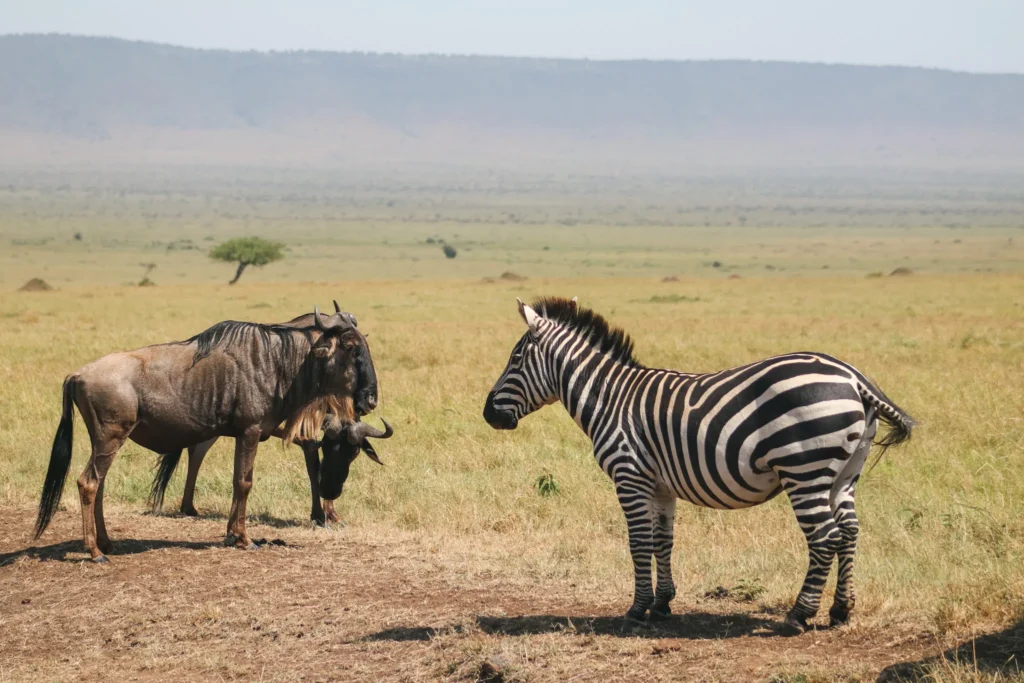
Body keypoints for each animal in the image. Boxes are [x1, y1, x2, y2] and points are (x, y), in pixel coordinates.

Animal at [483, 296, 917, 634]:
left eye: (515, 359)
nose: (488, 415)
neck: (609, 398)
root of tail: (854, 378)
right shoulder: (660, 485)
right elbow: (663, 541)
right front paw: (662, 604)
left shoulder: (629, 475)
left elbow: (638, 542)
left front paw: (637, 610)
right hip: (844, 473)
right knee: (849, 532)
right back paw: (841, 611)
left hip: (804, 469)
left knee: (825, 537)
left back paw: (798, 615)